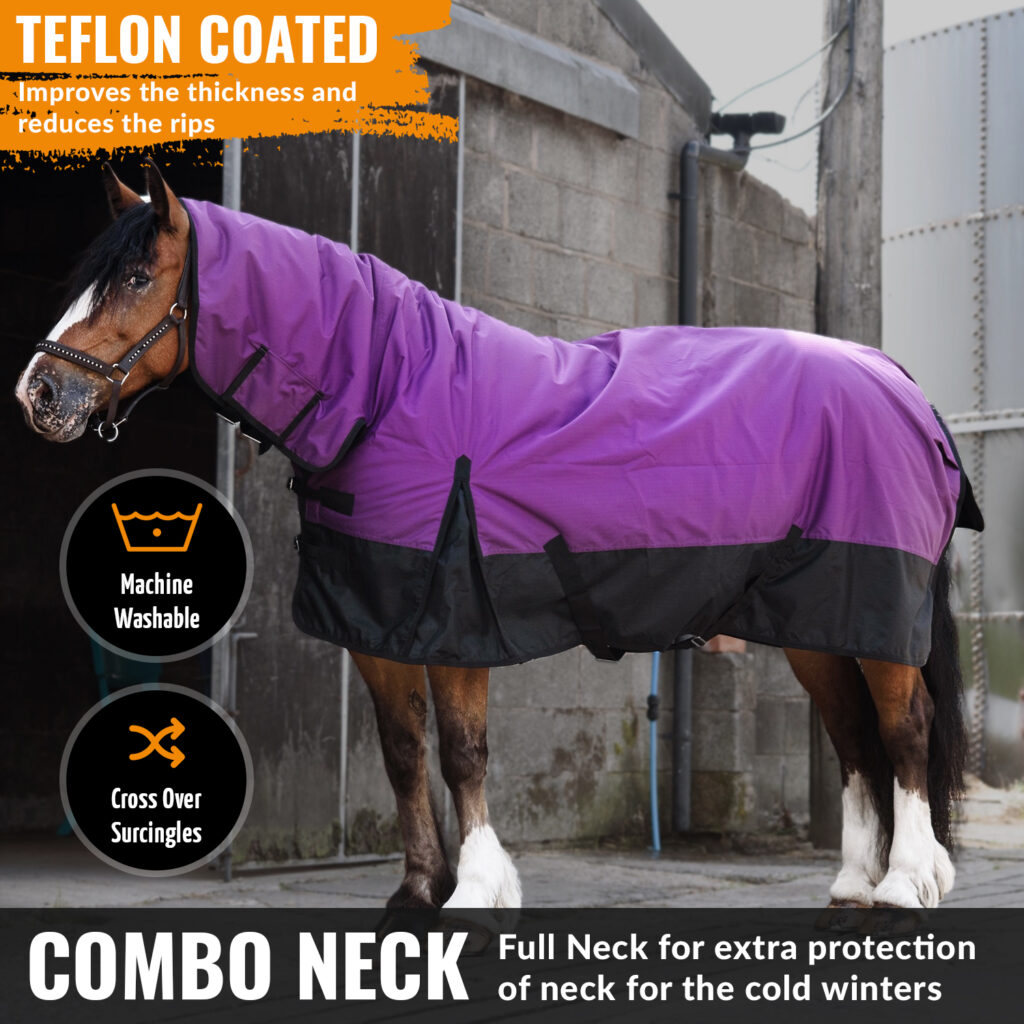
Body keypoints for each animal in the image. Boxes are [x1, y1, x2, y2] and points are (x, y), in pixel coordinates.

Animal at [16, 158, 983, 913]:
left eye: (138, 279)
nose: (39, 394)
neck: (385, 395)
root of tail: (901, 384)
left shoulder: (456, 621)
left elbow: (461, 753)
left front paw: (478, 889)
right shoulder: (380, 627)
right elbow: (404, 755)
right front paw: (415, 892)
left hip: (875, 609)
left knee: (904, 730)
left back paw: (907, 883)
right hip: (816, 623)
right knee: (854, 738)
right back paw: (856, 883)